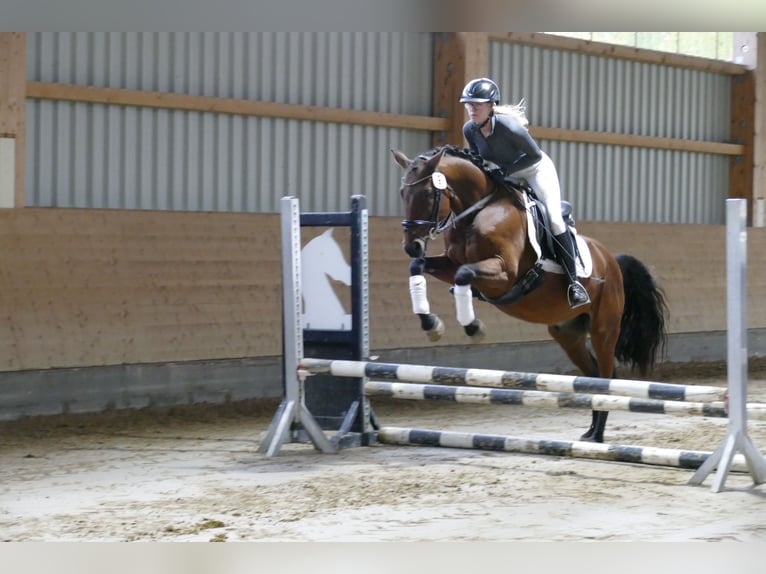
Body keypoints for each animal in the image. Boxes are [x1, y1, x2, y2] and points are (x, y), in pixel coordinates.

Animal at [391, 145, 669, 443]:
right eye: (402, 193)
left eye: (428, 194)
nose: (411, 245)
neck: (478, 211)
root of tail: (611, 261)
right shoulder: (449, 264)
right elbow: (420, 266)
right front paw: (431, 323)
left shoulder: (504, 273)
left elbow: (464, 274)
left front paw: (473, 327)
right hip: (568, 335)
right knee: (593, 376)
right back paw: (591, 431)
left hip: (604, 329)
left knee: (606, 375)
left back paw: (597, 435)